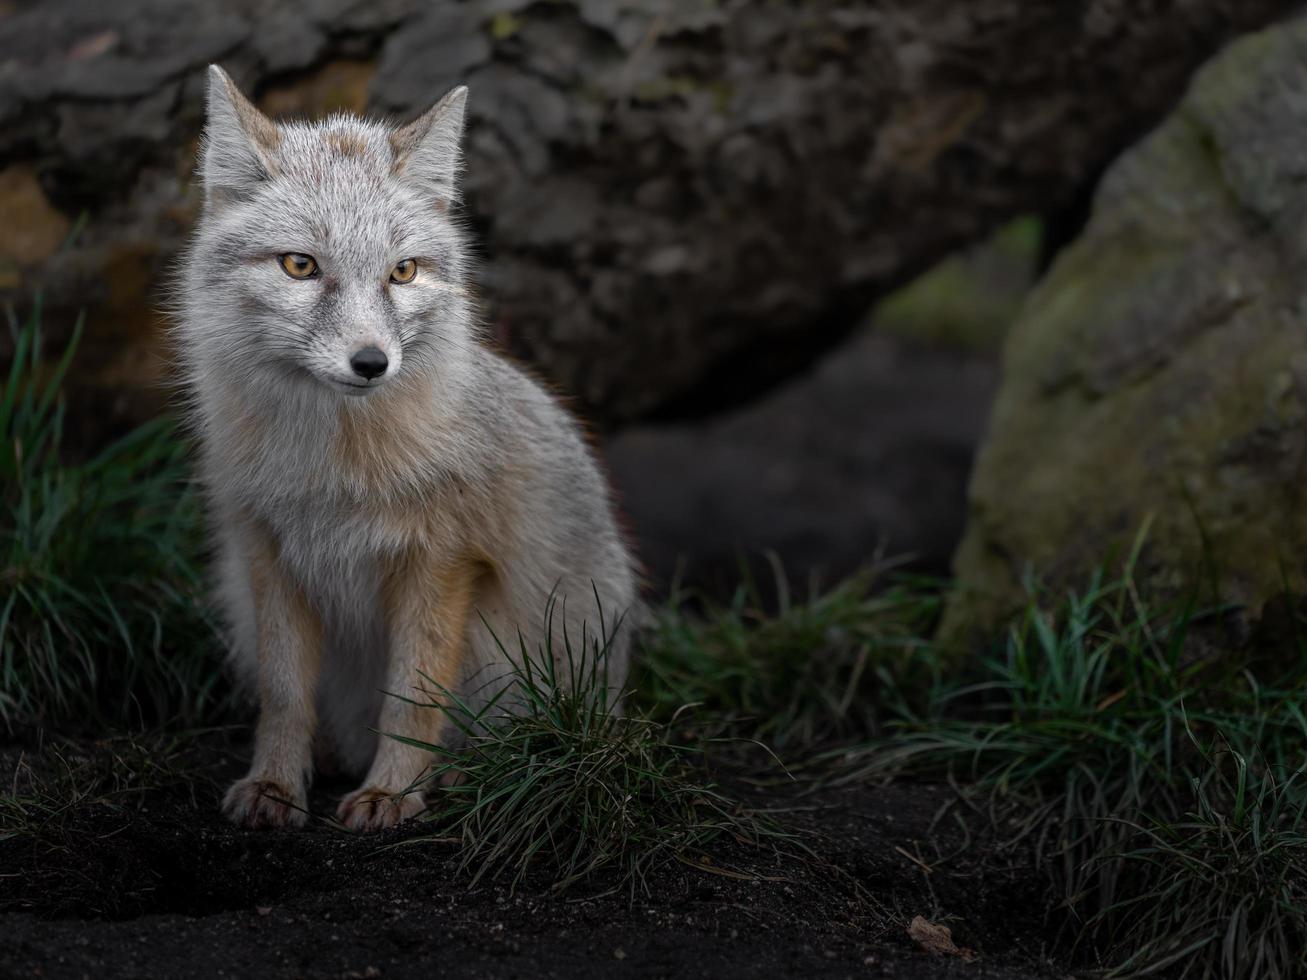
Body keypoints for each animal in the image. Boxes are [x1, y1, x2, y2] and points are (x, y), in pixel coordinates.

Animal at [177, 67, 637, 836]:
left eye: (402, 273)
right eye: (300, 266)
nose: (371, 363)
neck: (333, 474)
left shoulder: (441, 562)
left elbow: (414, 693)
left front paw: (393, 792)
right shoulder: (271, 552)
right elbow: (284, 694)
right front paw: (275, 784)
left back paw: (463, 773)